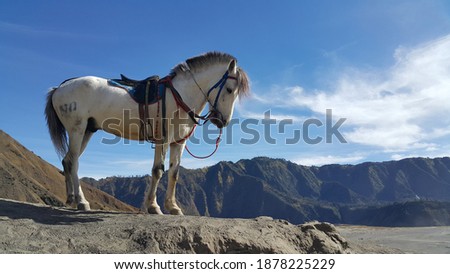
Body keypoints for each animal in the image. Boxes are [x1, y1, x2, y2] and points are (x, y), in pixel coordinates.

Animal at [45, 52, 250, 214]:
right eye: (229, 89)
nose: (222, 121)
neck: (180, 95)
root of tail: (59, 88)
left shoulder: (178, 142)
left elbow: (174, 173)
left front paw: (173, 207)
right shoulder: (163, 139)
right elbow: (158, 170)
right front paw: (154, 206)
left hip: (88, 130)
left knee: (67, 161)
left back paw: (71, 198)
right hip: (77, 130)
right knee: (74, 162)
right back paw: (82, 201)